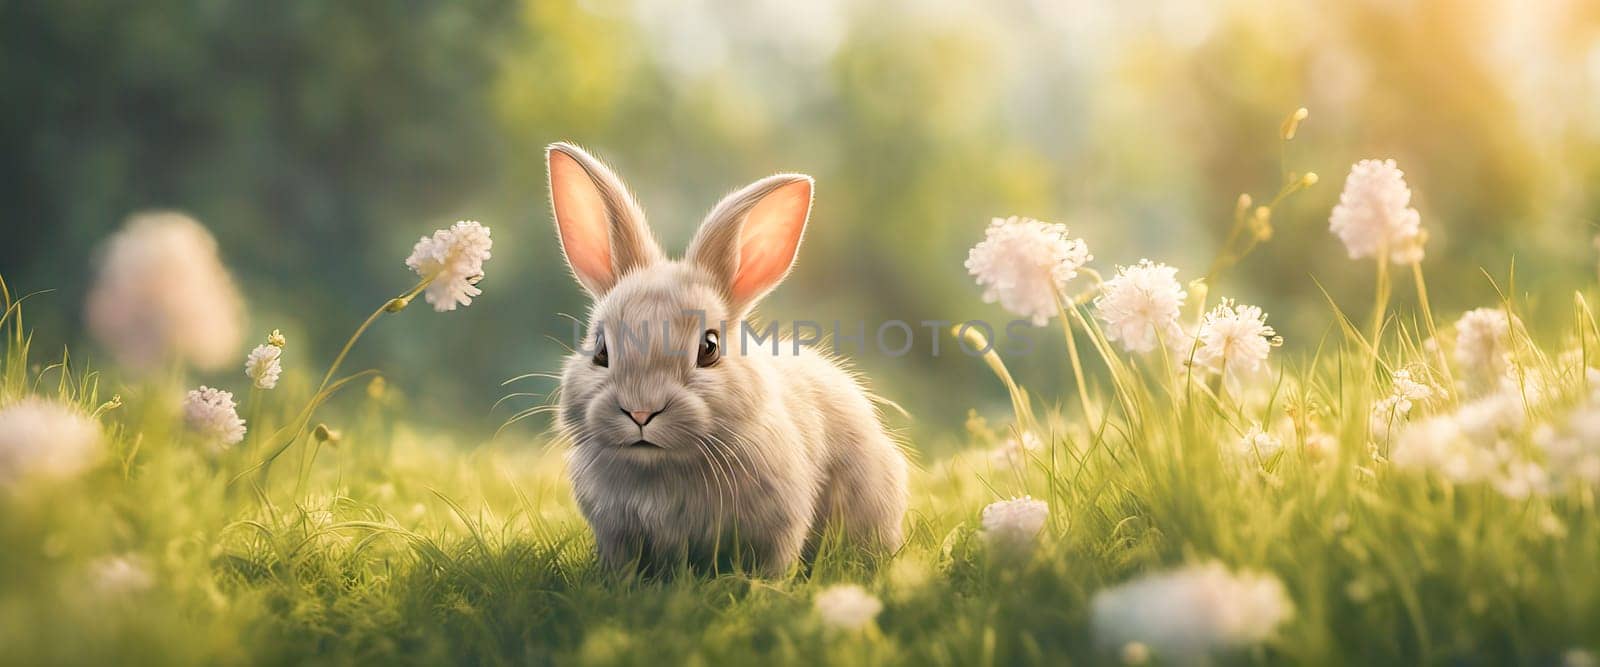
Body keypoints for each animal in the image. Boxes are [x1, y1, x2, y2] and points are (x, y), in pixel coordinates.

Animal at [550, 141, 908, 575]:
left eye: (709, 348)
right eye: (601, 350)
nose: (641, 411)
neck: (661, 467)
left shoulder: (781, 523)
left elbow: (774, 560)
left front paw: (767, 587)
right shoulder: (615, 533)